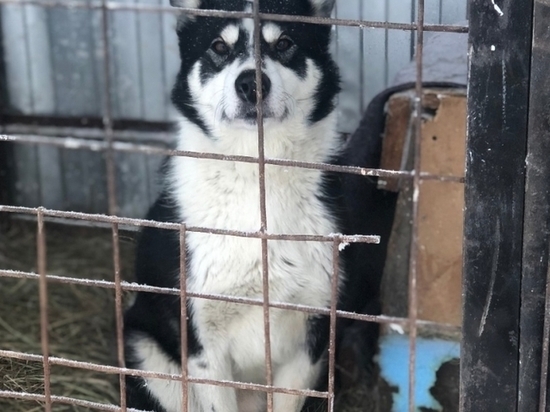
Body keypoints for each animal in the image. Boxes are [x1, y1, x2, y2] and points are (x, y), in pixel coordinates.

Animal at [124, 1, 392, 410]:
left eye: (284, 43)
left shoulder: (312, 338)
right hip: (143, 347)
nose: (252, 83)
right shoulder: (203, 347)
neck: (257, 179)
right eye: (219, 46)